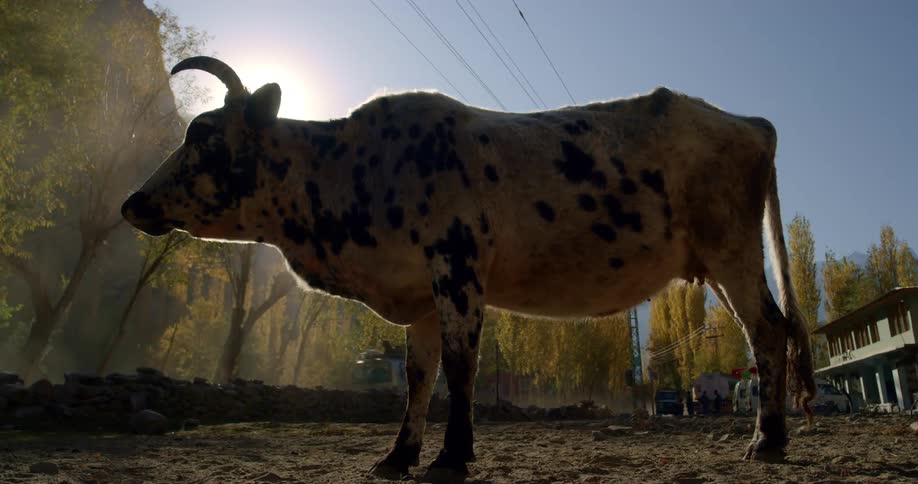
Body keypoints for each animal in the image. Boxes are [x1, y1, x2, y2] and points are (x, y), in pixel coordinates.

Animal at [122, 56, 815, 479]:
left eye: (205, 135)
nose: (133, 201)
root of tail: (747, 121)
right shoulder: (419, 293)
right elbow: (418, 377)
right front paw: (398, 456)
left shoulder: (455, 264)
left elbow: (461, 367)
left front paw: (452, 457)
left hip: (731, 250)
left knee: (769, 331)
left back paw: (768, 441)